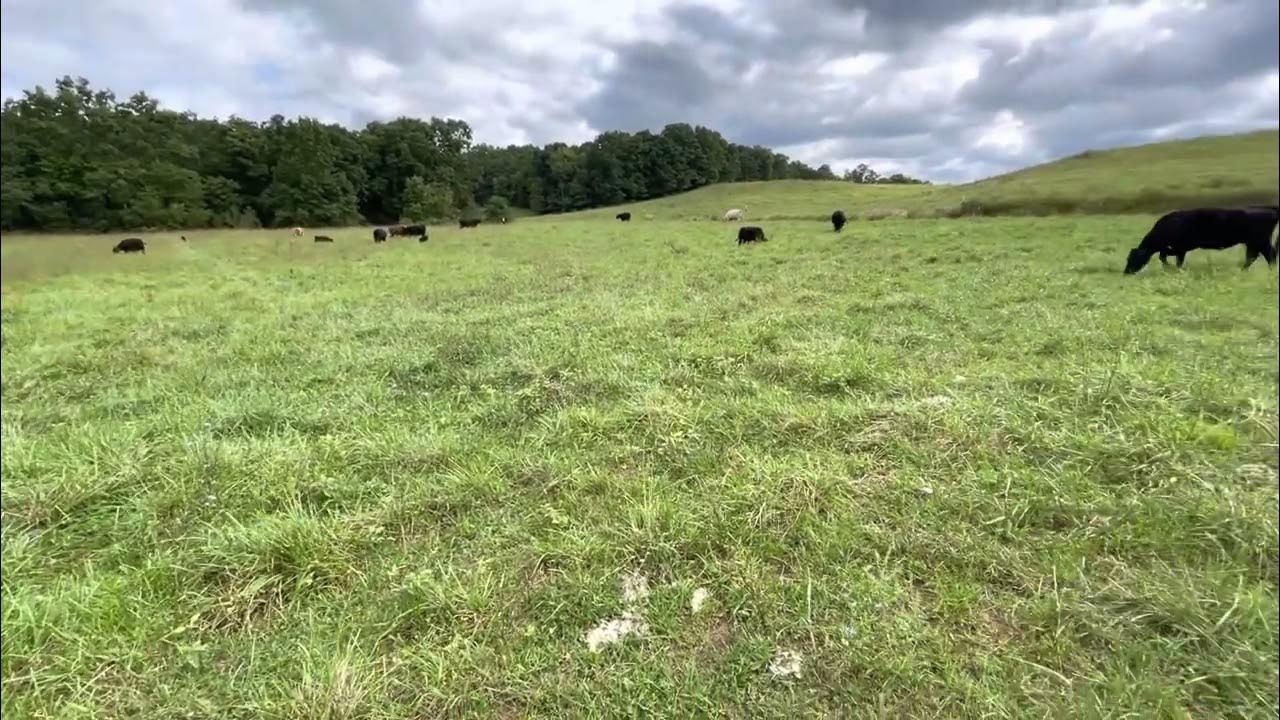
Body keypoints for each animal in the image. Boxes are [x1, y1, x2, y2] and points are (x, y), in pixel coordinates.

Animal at [1123, 206, 1280, 274]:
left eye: (1132, 259)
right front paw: (1174, 269)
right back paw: (1242, 271)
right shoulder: (1180, 249)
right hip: (1253, 243)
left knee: (1269, 255)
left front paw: (1172, 268)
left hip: (1261, 241)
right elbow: (1167, 257)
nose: (1126, 272)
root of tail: (1269, 210)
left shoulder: (1180, 248)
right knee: (1252, 257)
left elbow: (1166, 257)